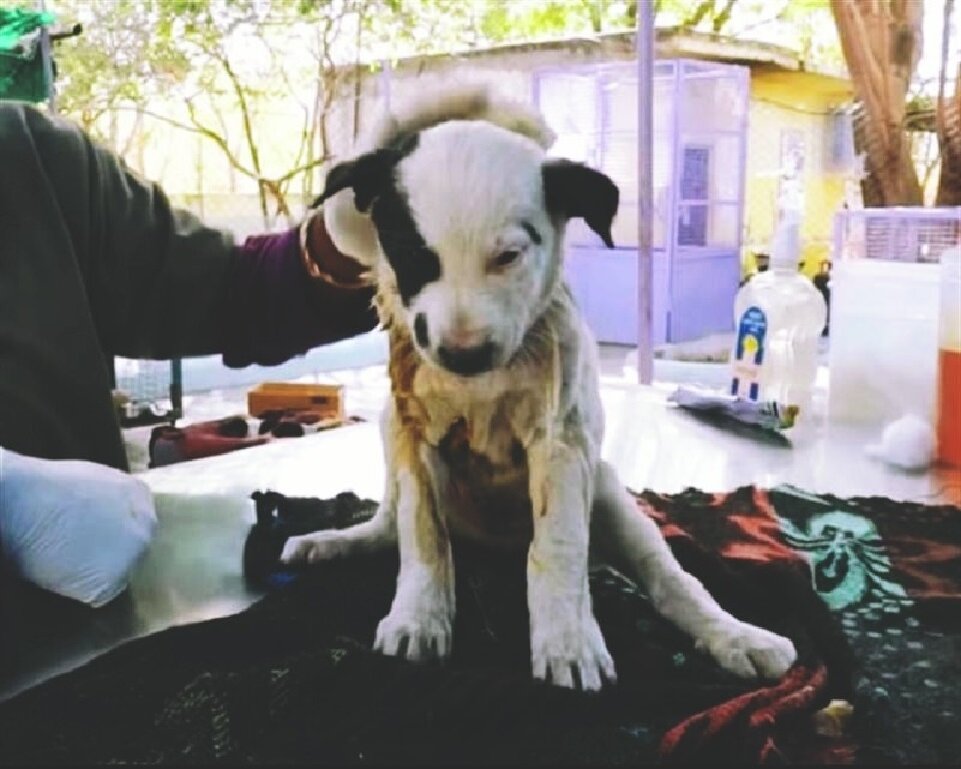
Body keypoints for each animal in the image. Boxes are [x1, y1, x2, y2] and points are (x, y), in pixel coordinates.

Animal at [284, 85, 796, 688]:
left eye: (508, 256)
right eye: (413, 257)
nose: (463, 354)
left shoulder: (561, 441)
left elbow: (558, 546)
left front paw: (568, 641)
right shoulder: (413, 436)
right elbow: (423, 536)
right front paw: (419, 617)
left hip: (611, 497)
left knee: (670, 579)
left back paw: (736, 636)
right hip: (391, 436)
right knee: (391, 525)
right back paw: (338, 542)